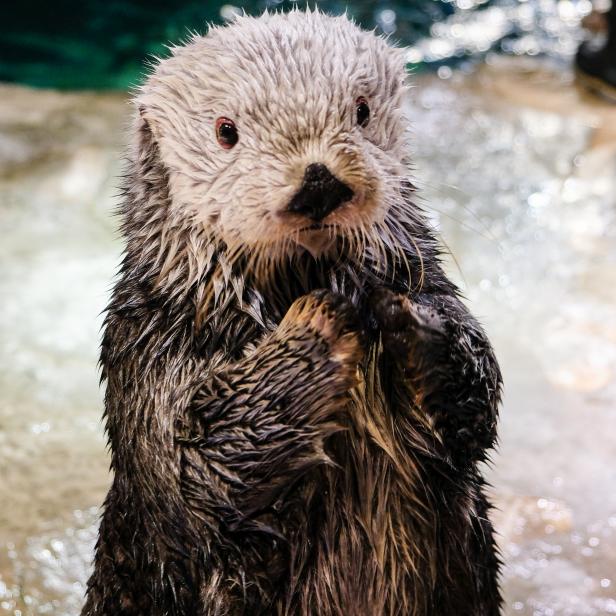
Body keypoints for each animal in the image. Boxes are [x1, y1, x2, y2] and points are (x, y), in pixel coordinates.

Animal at [82, 9, 502, 616]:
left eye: (361, 111)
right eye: (225, 130)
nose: (319, 182)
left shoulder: (437, 288)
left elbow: (476, 394)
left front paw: (406, 319)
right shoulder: (151, 357)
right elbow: (198, 462)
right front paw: (320, 322)